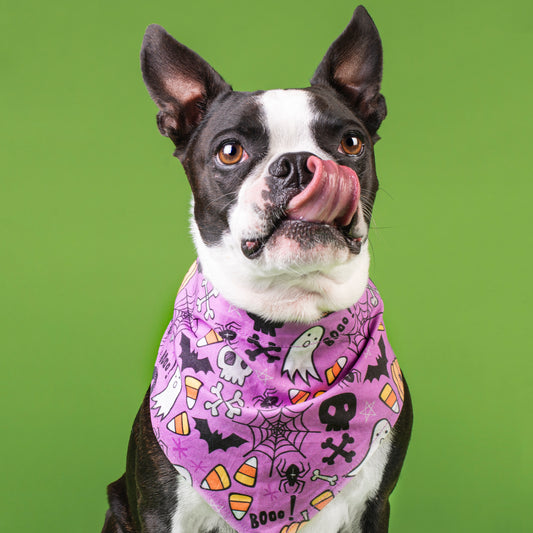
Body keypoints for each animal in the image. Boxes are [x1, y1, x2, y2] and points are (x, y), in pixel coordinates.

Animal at [104, 5, 412, 532]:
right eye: (230, 151)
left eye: (352, 142)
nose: (299, 163)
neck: (289, 312)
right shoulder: (160, 508)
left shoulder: (376, 505)